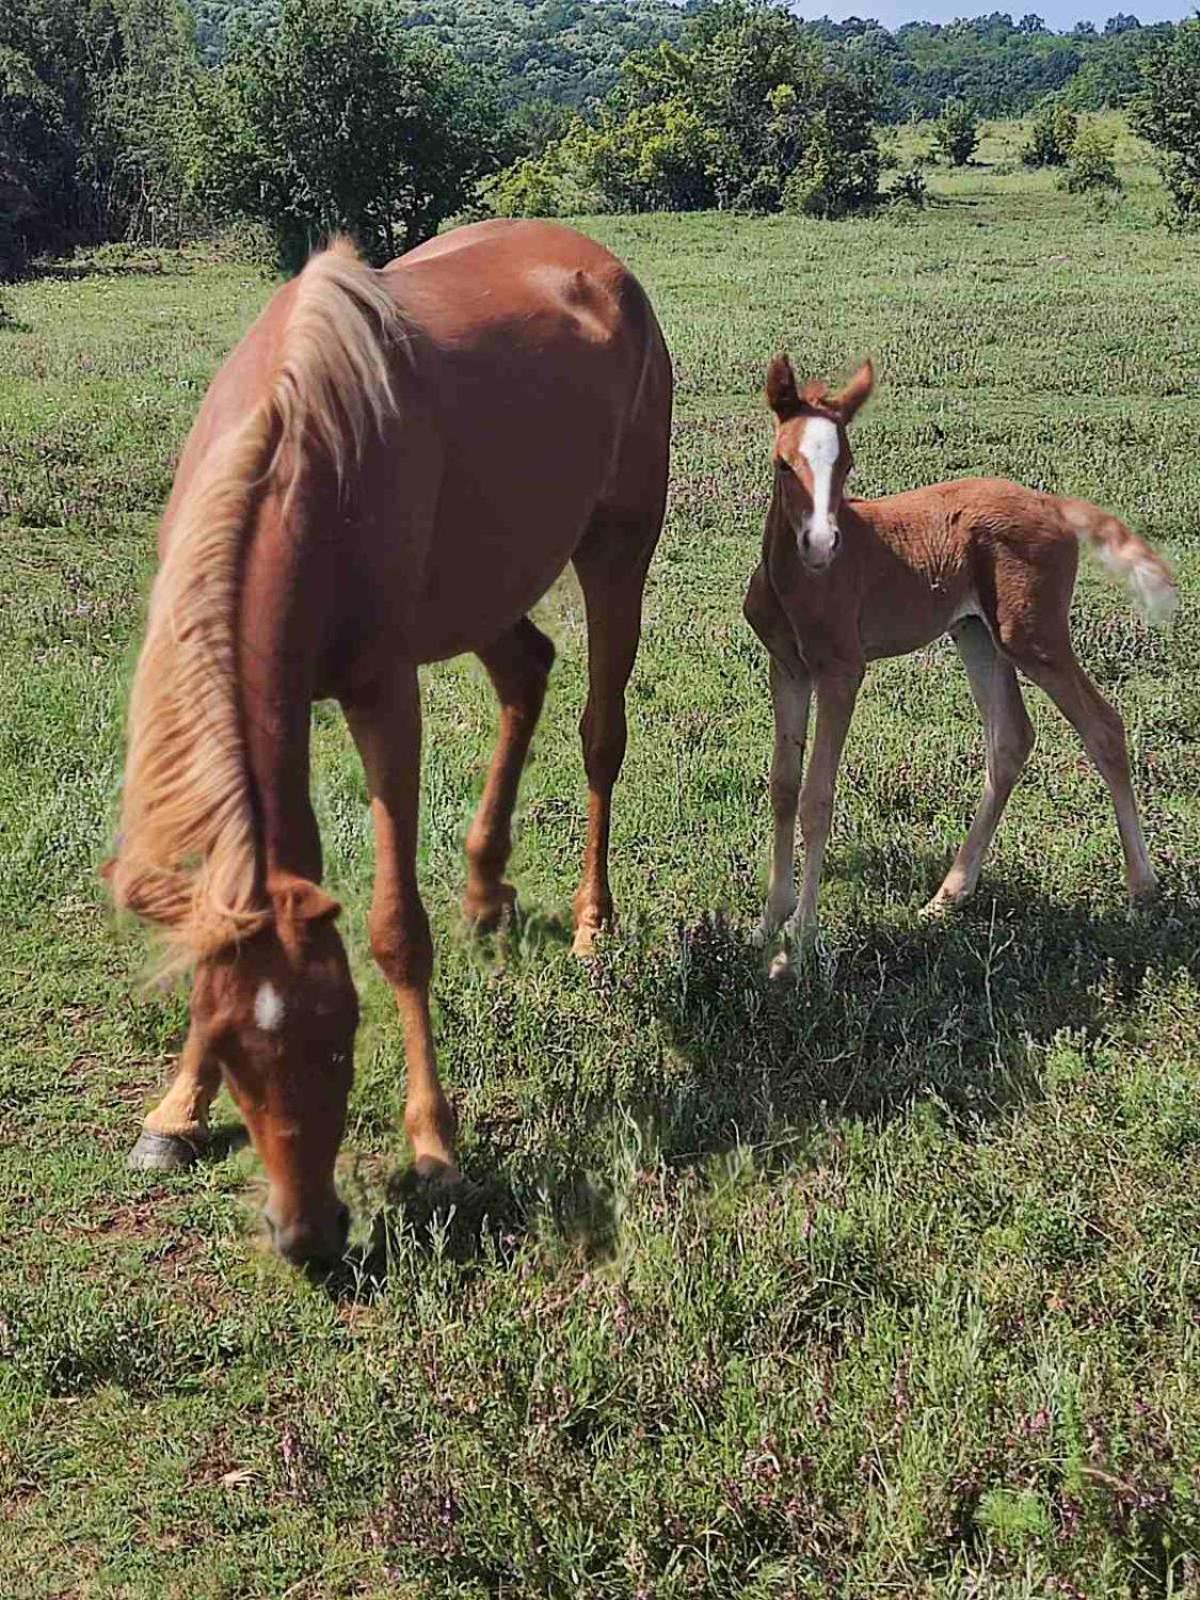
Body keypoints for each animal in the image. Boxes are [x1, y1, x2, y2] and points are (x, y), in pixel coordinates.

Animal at [107, 219, 672, 1260]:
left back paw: (590, 924)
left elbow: (396, 931)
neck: (299, 447)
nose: (307, 1236)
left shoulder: (382, 694)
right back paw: (486, 892)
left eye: (342, 1040)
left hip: (619, 544)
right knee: (525, 672)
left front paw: (434, 1145)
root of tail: (596, 258)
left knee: (599, 736)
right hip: (485, 586)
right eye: (229, 1047)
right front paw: (173, 1113)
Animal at [748, 355, 1177, 966]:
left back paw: (1141, 888)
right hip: (977, 635)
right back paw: (948, 896)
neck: (797, 584)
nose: (821, 543)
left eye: (847, 463)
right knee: (1011, 739)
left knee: (1103, 726)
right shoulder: (786, 668)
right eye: (784, 464)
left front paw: (803, 938)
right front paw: (768, 923)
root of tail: (1053, 504)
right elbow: (784, 787)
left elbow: (816, 796)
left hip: (1031, 636)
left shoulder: (841, 671)